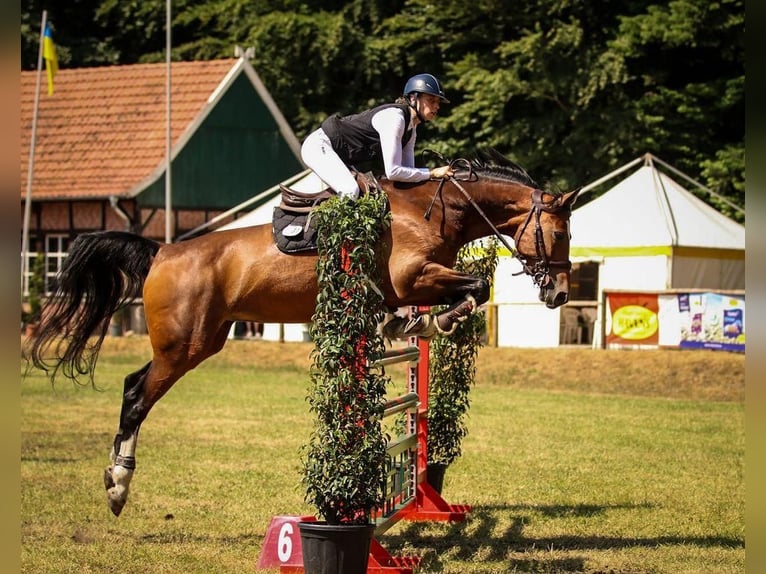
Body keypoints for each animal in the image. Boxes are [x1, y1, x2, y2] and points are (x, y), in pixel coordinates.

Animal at [25, 151, 584, 520]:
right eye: (561, 233)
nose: (559, 292)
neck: (434, 208)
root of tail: (162, 250)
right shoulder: (412, 277)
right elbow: (476, 286)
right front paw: (430, 320)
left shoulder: (415, 281)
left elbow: (463, 294)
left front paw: (412, 322)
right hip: (183, 345)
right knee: (137, 395)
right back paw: (117, 486)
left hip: (202, 341)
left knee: (133, 385)